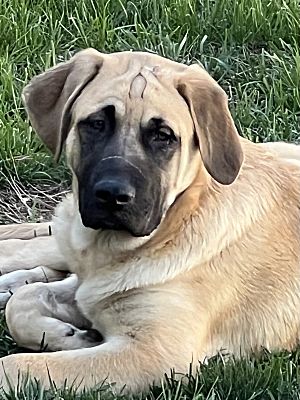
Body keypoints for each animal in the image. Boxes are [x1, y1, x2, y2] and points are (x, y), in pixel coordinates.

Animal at [0, 47, 300, 394]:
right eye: (97, 123)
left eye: (163, 136)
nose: (113, 195)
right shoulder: (95, 292)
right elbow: (25, 302)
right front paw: (70, 336)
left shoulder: (154, 353)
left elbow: (16, 364)